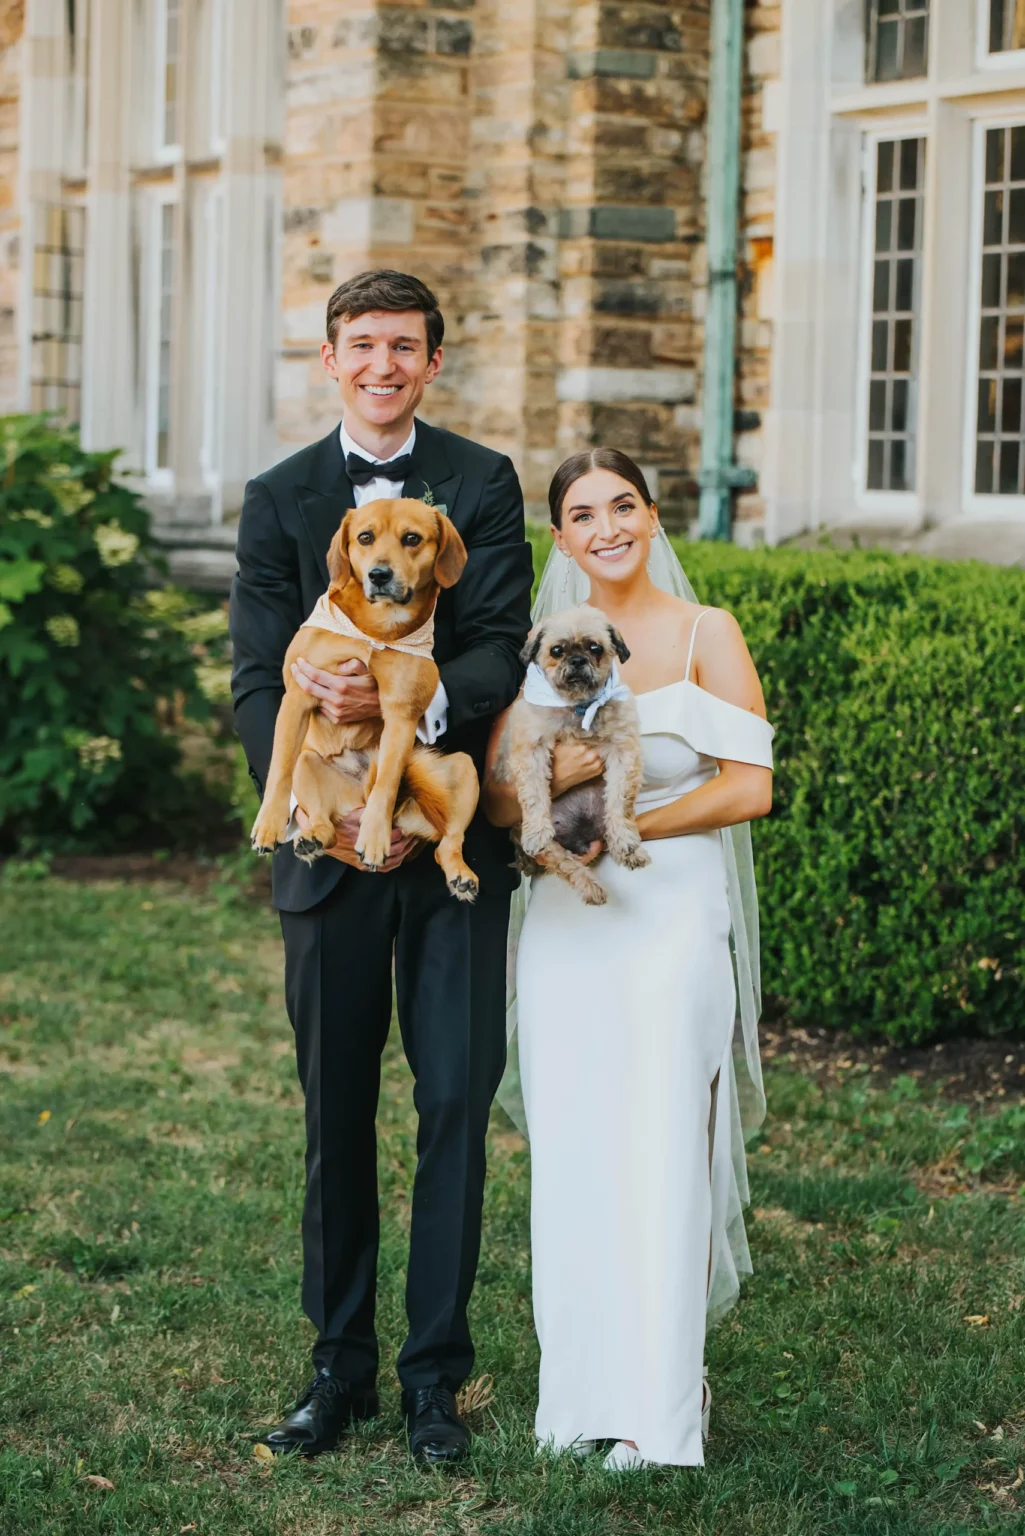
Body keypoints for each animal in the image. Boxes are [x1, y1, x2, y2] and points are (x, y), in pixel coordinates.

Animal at [255, 497, 482, 897]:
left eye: (412, 538)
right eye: (365, 537)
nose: (379, 574)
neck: (374, 631)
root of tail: (355, 795)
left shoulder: (401, 716)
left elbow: (387, 783)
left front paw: (375, 837)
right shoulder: (298, 696)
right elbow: (278, 770)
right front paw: (269, 824)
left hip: (464, 769)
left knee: (447, 843)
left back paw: (460, 873)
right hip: (307, 762)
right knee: (326, 824)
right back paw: (312, 837)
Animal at [494, 605, 648, 903]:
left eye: (595, 648)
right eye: (557, 650)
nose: (577, 660)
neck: (579, 706)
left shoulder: (623, 749)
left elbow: (620, 801)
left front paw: (626, 840)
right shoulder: (531, 750)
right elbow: (534, 796)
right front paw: (537, 831)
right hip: (543, 843)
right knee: (564, 862)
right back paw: (591, 886)